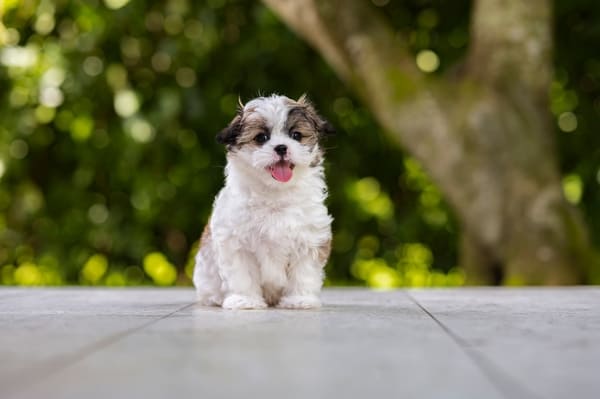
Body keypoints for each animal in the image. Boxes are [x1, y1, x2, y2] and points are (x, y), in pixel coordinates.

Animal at [192, 95, 332, 310]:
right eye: (261, 138)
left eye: (296, 135)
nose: (281, 147)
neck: (274, 195)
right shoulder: (236, 243)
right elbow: (243, 275)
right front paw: (245, 300)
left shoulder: (309, 239)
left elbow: (304, 272)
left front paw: (300, 299)